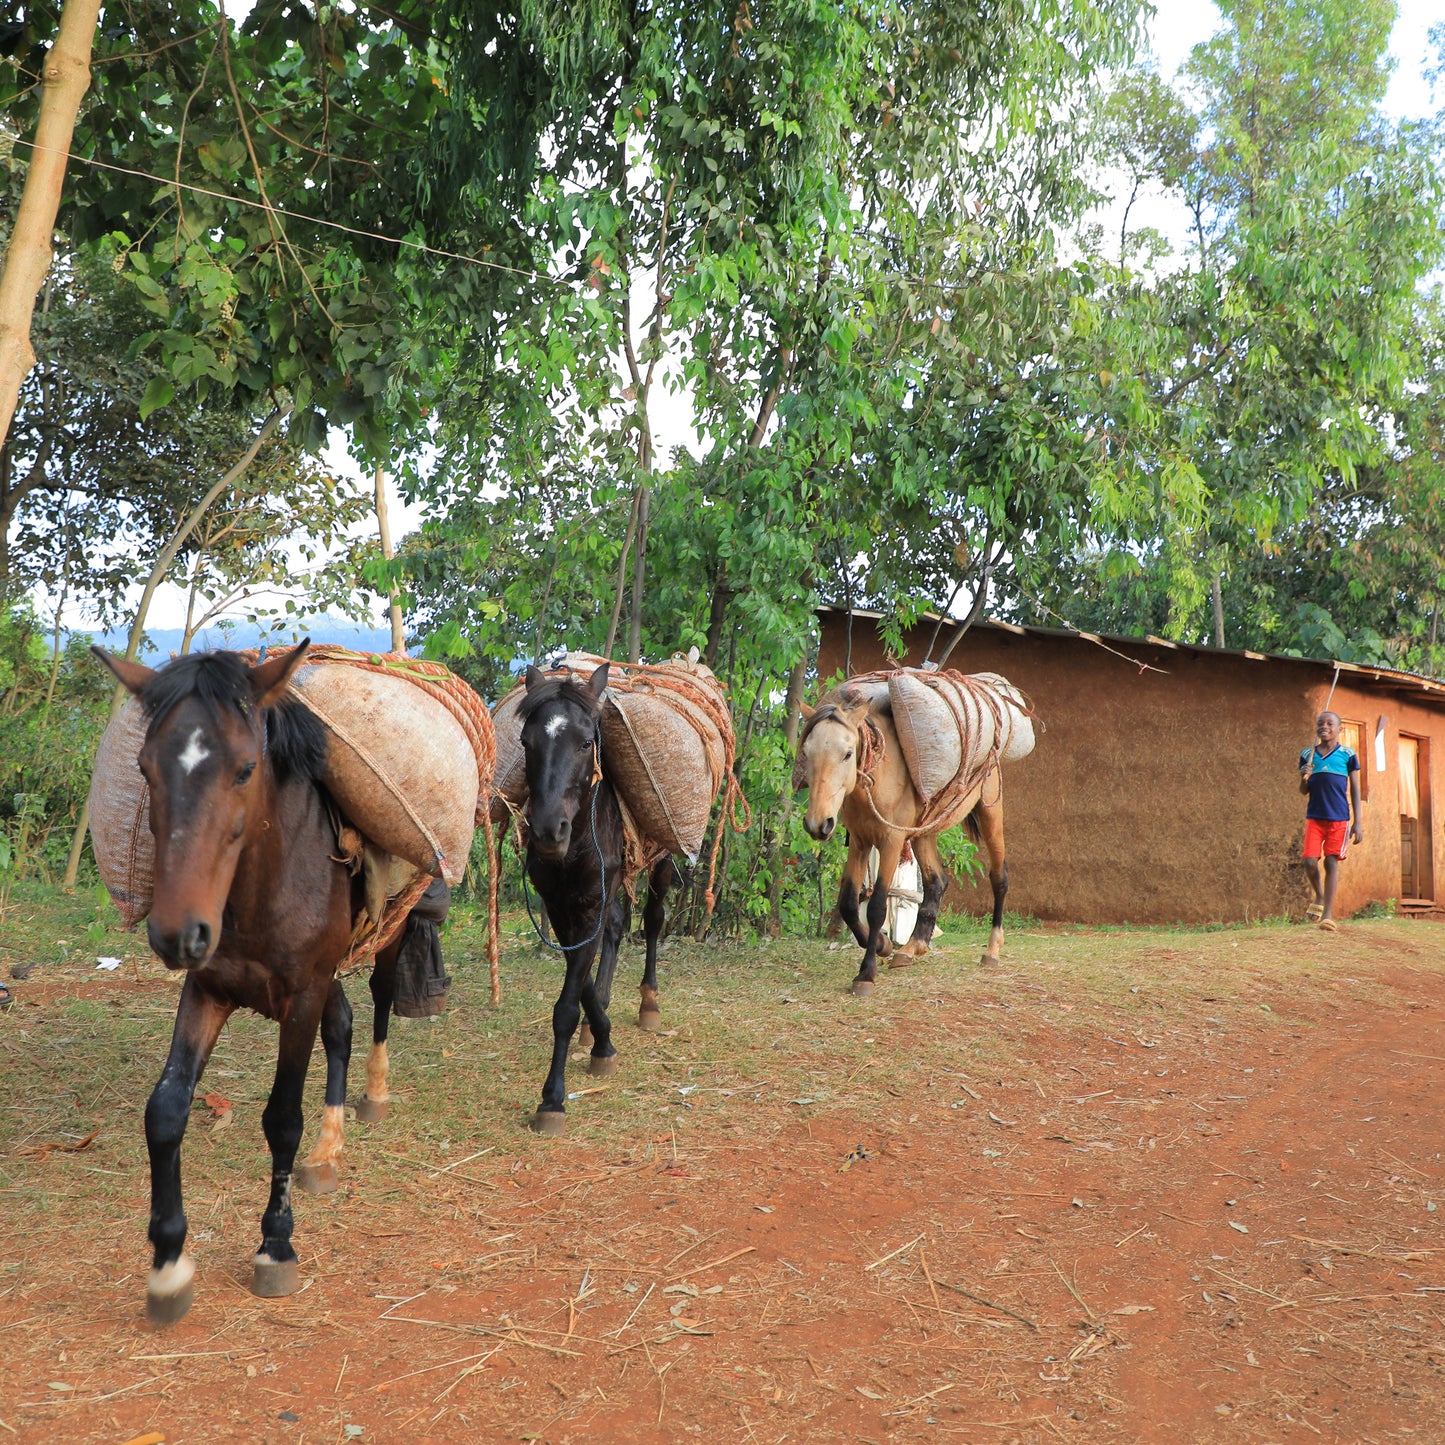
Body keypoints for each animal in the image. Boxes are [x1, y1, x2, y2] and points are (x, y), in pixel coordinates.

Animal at [93, 650, 416, 1323]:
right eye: (145, 768)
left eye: (245, 769)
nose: (177, 932)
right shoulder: (208, 990)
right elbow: (165, 1110)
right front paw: (168, 1263)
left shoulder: (302, 994)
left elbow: (282, 1117)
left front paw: (276, 1243)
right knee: (342, 1026)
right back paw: (326, 1152)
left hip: (388, 938)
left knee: (377, 1004)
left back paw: (372, 1096)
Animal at [520, 664, 676, 1138]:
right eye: (525, 742)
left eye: (587, 742)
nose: (547, 832)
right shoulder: (561, 906)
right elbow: (581, 975)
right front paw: (600, 1036)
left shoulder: (590, 905)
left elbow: (568, 1004)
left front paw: (552, 1098)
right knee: (618, 926)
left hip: (661, 864)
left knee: (653, 919)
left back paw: (649, 1001)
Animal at [797, 684, 1011, 994]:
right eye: (807, 752)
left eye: (848, 754)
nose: (818, 824)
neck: (878, 779)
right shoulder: (860, 842)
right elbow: (848, 904)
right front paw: (882, 945)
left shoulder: (892, 840)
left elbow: (876, 907)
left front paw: (867, 972)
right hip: (924, 832)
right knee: (936, 881)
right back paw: (912, 948)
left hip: (990, 812)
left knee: (999, 876)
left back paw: (992, 950)